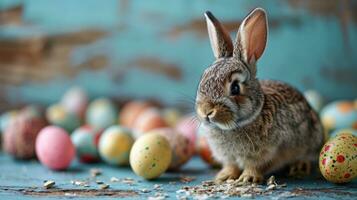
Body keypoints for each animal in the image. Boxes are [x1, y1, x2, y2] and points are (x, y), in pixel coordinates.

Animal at [195, 7, 322, 184]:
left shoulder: (269, 152)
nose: (206, 111)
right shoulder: (229, 157)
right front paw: (224, 176)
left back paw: (300, 166)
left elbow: (255, 166)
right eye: (203, 78)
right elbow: (231, 166)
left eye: (235, 88)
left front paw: (248, 178)